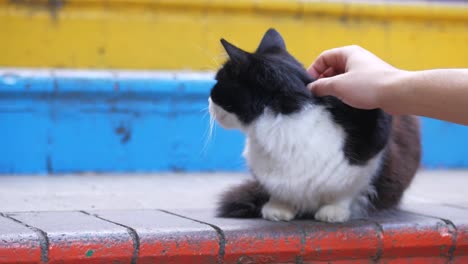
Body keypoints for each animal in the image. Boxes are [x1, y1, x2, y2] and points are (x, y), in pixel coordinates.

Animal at [208, 28, 420, 223]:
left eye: (218, 82)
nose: (208, 101)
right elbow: (278, 190)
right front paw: (278, 207)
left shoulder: (374, 138)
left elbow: (349, 187)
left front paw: (334, 211)